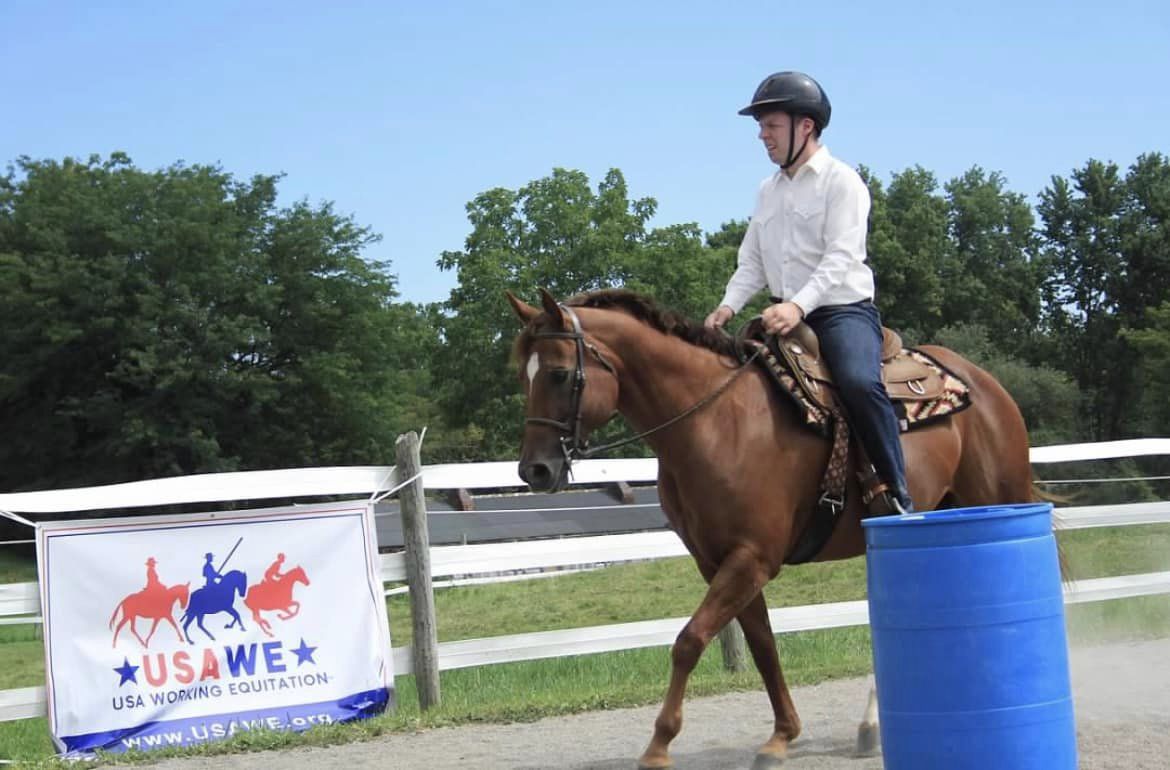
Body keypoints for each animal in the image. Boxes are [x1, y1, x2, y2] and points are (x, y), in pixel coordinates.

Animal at [505, 287, 1034, 767]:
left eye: (558, 373)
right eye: (522, 377)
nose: (536, 471)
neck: (714, 423)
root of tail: (983, 383)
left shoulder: (751, 558)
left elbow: (689, 641)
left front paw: (659, 745)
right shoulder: (719, 561)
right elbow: (761, 643)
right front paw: (782, 735)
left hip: (996, 500)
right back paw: (871, 726)